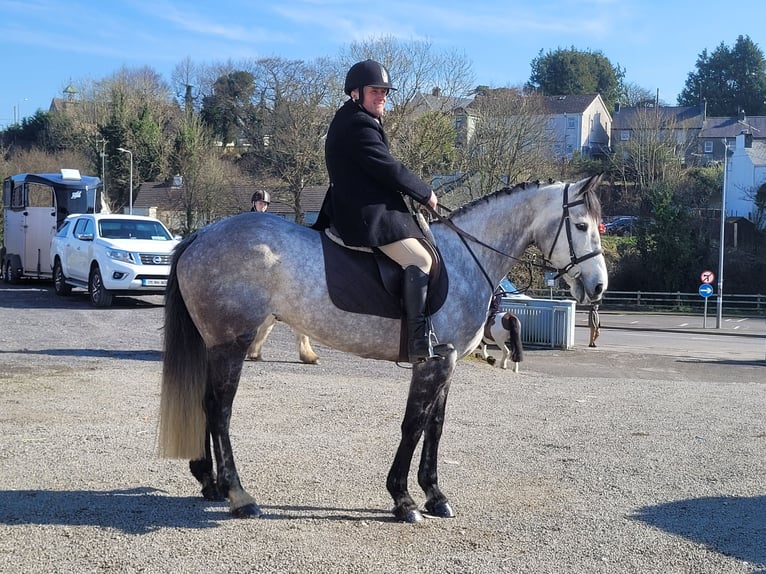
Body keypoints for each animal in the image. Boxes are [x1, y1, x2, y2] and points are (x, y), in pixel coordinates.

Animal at [159, 176, 608, 528]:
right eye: (582, 225)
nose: (599, 286)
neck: (466, 258)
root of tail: (203, 233)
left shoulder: (446, 364)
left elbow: (435, 428)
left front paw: (435, 495)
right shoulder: (433, 363)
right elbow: (413, 426)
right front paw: (403, 500)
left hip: (216, 345)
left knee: (206, 403)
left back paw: (209, 482)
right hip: (230, 343)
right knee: (220, 410)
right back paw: (239, 495)